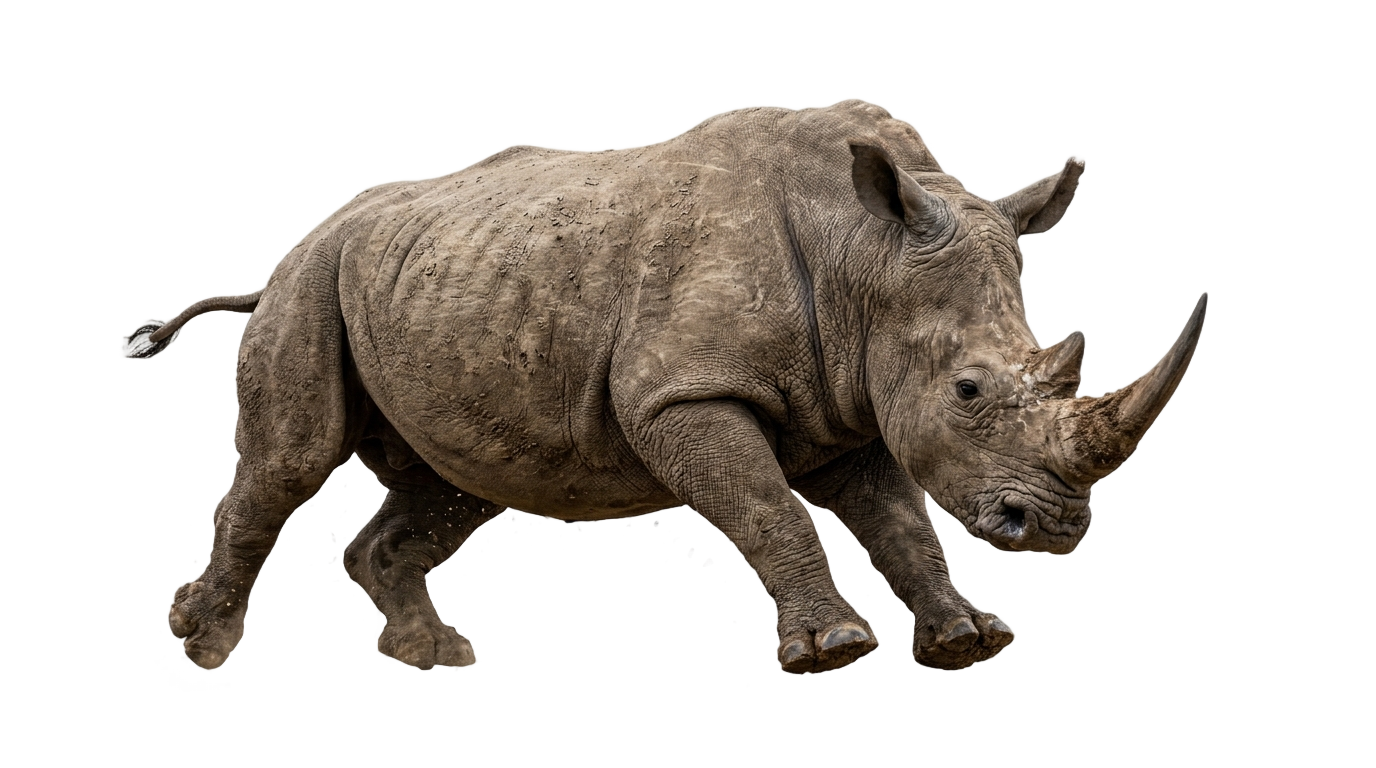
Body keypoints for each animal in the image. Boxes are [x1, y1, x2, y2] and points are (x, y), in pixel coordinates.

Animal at [127, 101, 1207, 673]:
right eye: (970, 392)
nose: (1052, 533)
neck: (860, 253)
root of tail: (289, 253)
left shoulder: (846, 412)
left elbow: (895, 523)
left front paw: (967, 641)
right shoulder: (679, 396)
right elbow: (769, 508)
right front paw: (832, 652)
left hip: (420, 285)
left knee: (445, 492)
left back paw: (437, 665)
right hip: (314, 279)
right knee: (291, 459)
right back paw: (201, 646)